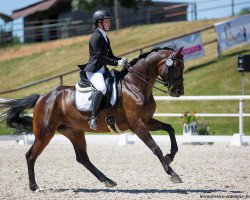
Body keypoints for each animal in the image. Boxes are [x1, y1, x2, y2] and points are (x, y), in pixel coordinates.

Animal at [0, 46, 184, 191]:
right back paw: (34, 186)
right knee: (30, 156)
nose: (178, 92)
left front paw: (170, 155)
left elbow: (170, 129)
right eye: (175, 66)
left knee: (82, 158)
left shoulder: (146, 121)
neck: (135, 86)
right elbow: (155, 148)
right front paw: (173, 173)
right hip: (45, 133)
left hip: (73, 131)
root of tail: (42, 97)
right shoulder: (137, 125)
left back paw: (108, 180)